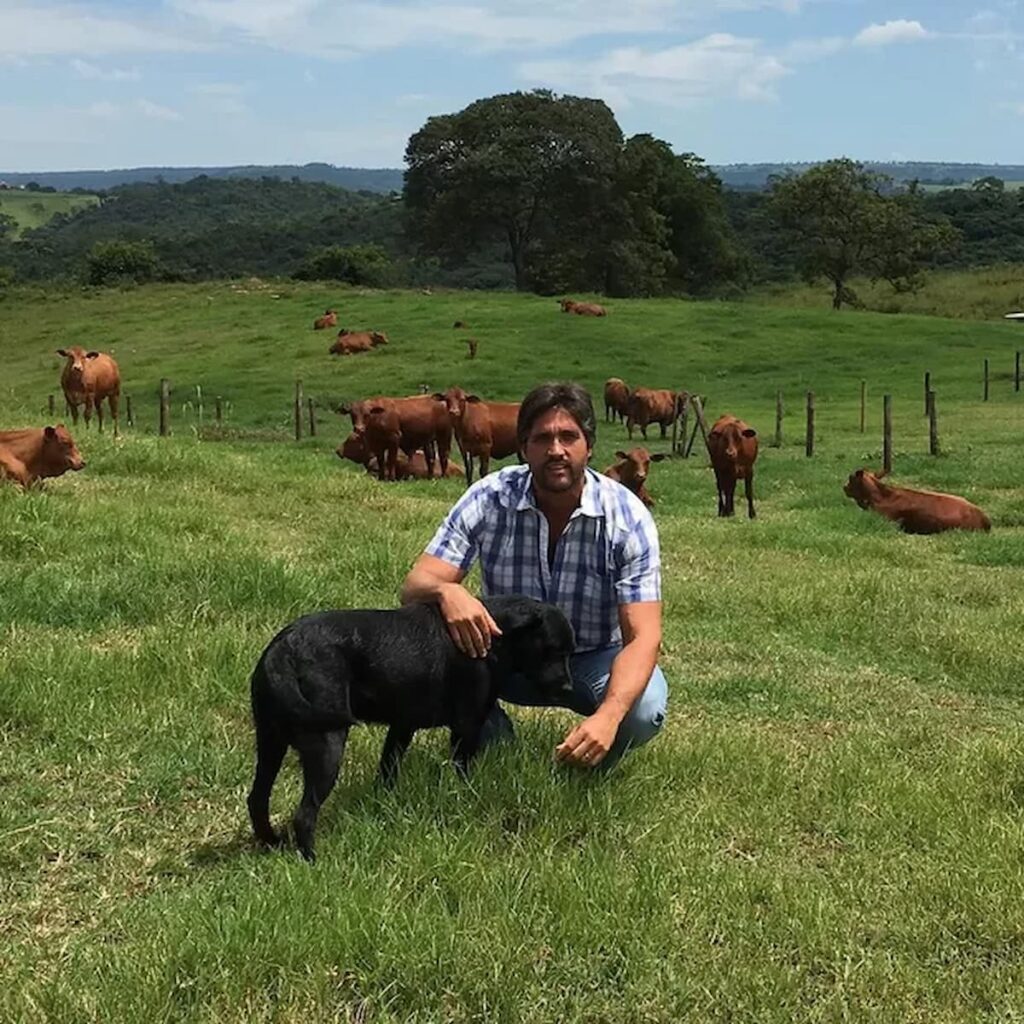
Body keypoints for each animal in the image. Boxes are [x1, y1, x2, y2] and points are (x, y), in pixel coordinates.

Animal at [243, 598, 573, 860]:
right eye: (553, 650)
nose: (568, 687)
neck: (494, 639)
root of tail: (282, 652)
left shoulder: (403, 725)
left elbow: (388, 770)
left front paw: (384, 805)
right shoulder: (466, 726)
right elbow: (461, 772)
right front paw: (464, 798)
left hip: (271, 741)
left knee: (257, 798)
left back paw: (271, 843)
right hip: (327, 743)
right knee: (304, 815)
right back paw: (312, 860)